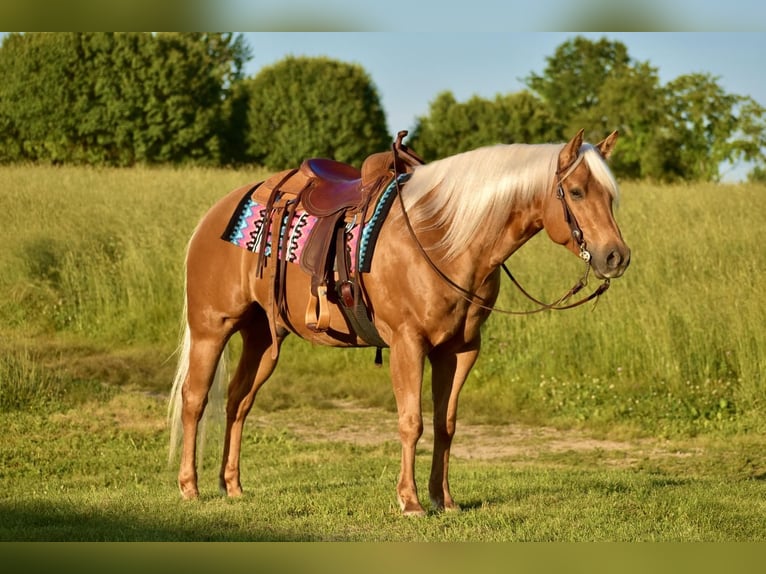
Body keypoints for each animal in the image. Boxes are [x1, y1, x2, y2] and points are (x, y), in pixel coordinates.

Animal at [168, 129, 632, 516]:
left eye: (611, 197)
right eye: (576, 191)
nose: (616, 256)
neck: (443, 238)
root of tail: (216, 214)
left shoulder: (461, 349)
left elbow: (446, 425)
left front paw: (444, 500)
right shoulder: (409, 345)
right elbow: (413, 423)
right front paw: (410, 502)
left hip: (263, 337)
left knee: (237, 402)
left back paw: (232, 486)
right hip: (212, 328)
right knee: (195, 400)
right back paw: (189, 487)